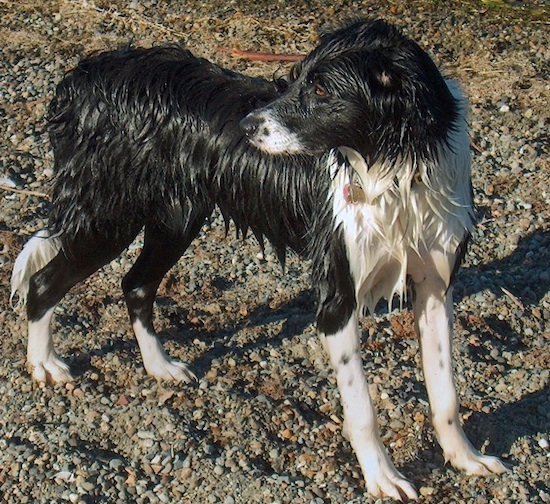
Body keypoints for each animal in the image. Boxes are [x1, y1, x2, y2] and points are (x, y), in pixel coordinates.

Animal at [10, 18, 508, 500]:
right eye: (298, 77)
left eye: (321, 89)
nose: (246, 127)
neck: (396, 169)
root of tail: (86, 73)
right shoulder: (337, 296)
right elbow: (362, 408)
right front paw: (381, 476)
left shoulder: (436, 290)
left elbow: (446, 393)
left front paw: (464, 458)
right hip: (108, 217)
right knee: (44, 282)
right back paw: (43, 364)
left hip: (176, 218)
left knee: (135, 284)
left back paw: (159, 366)